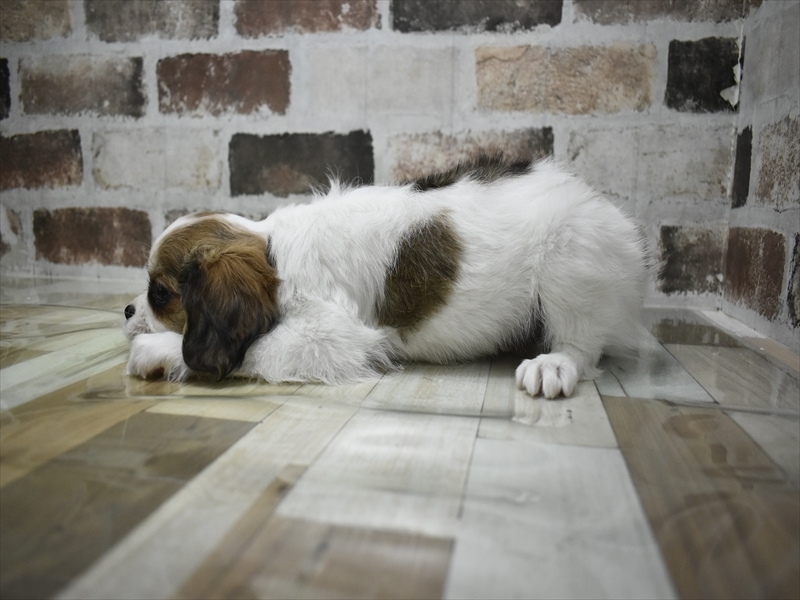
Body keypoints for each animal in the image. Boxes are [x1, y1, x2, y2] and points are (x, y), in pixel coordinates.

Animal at [124, 156, 649, 398]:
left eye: (160, 294)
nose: (127, 309)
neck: (275, 253)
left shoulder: (329, 338)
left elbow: (246, 350)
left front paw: (159, 349)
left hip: (569, 257)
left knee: (581, 344)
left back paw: (554, 363)